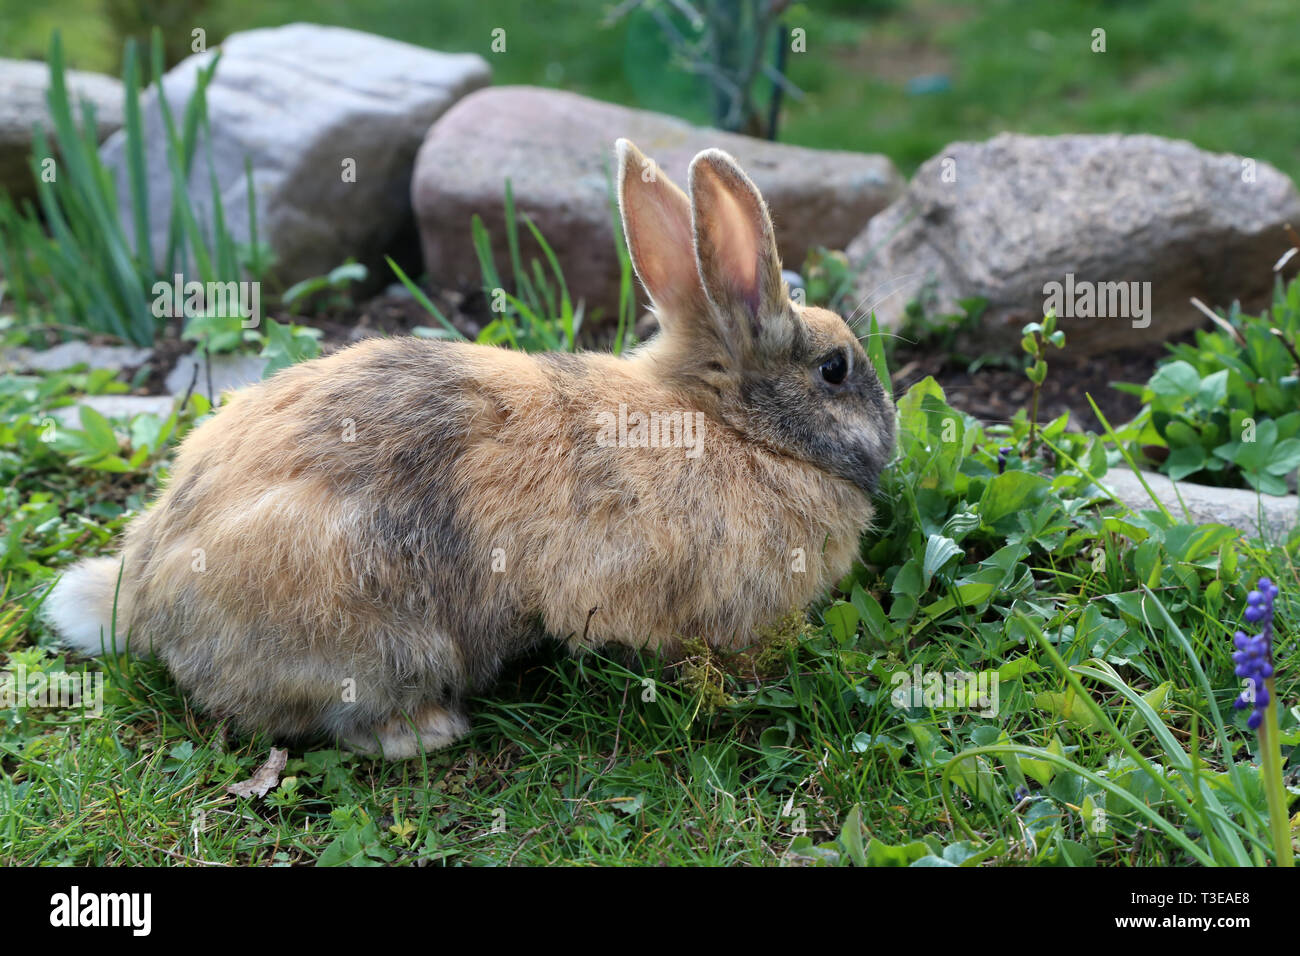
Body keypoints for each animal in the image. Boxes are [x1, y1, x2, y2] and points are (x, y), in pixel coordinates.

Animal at [43, 139, 896, 760]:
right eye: (835, 369)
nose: (889, 438)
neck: (732, 425)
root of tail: (146, 599)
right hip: (379, 632)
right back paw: (429, 730)